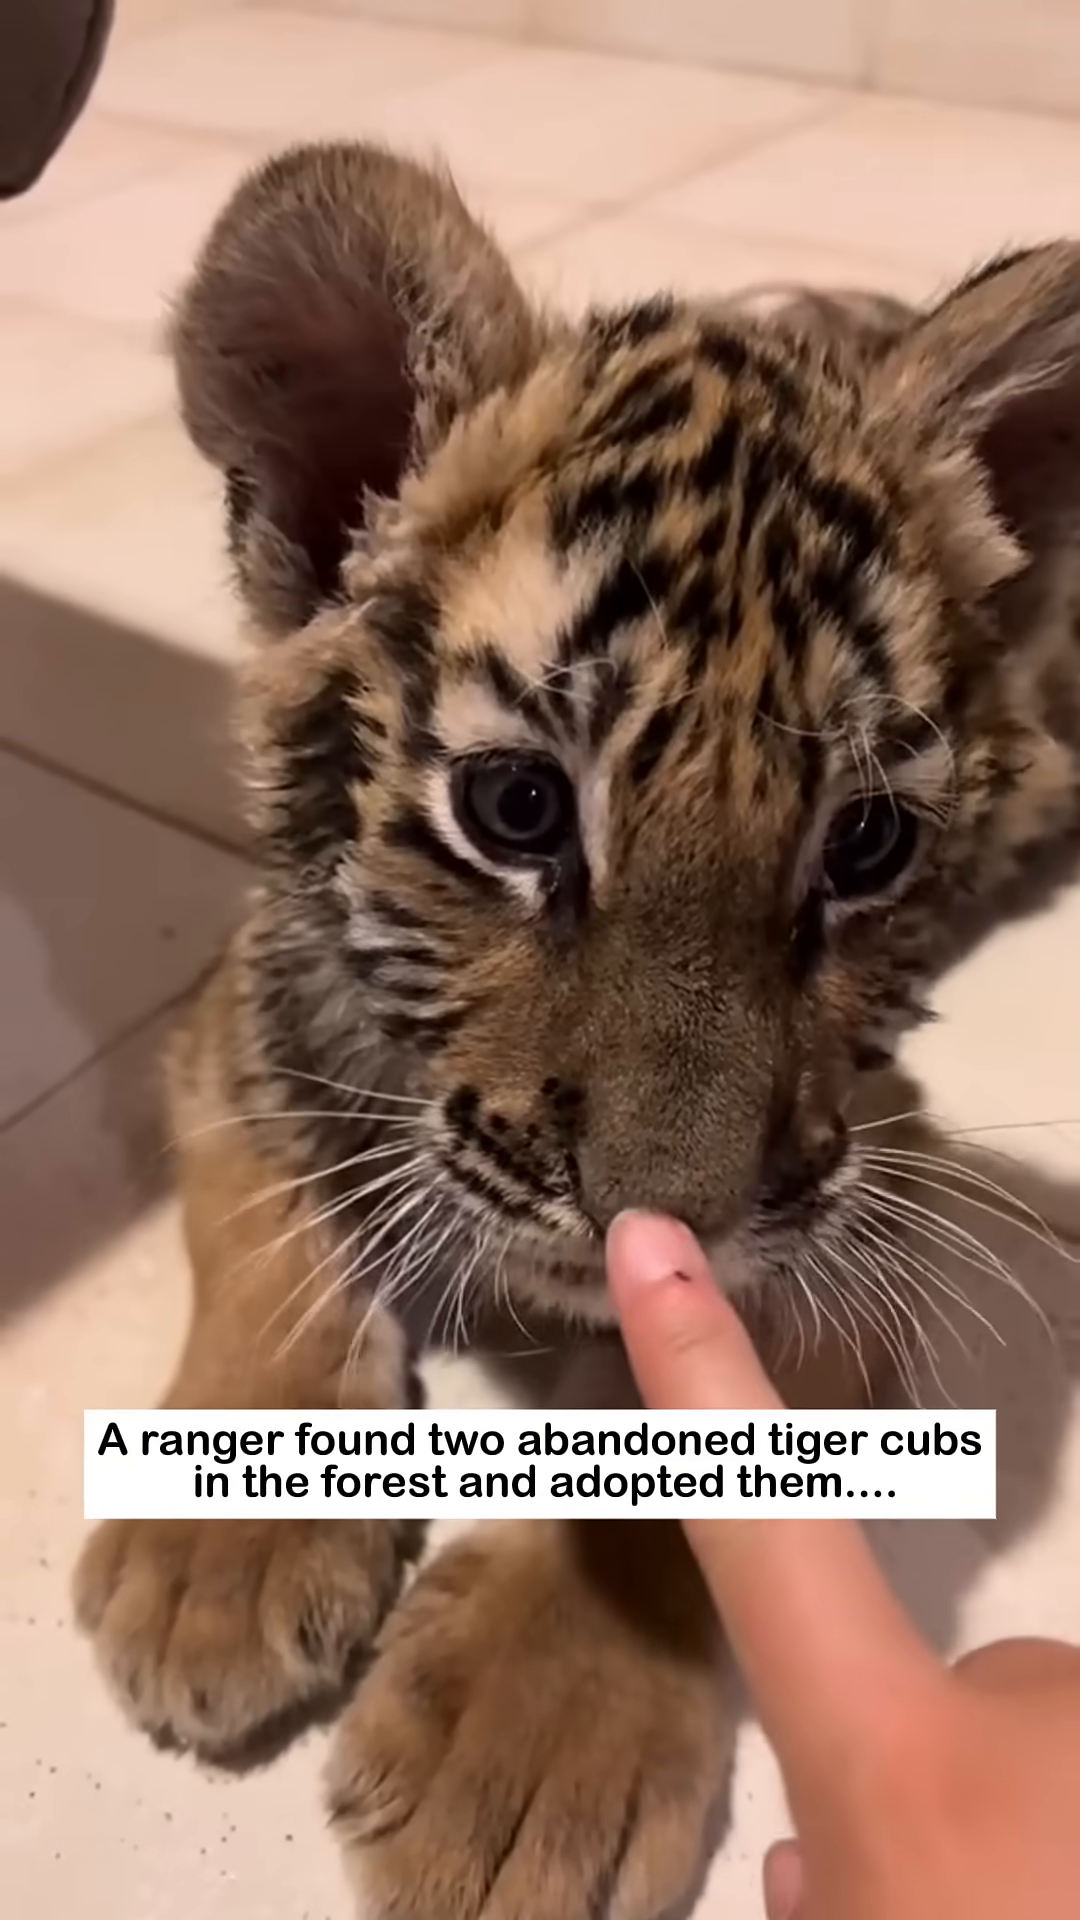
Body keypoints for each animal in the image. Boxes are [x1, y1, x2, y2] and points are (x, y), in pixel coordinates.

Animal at [73, 142, 1080, 1920]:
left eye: (867, 844)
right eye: (518, 808)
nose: (659, 1210)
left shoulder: (868, 1175)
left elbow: (689, 1433)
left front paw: (522, 1749)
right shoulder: (251, 999)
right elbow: (270, 1219)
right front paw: (212, 1564)